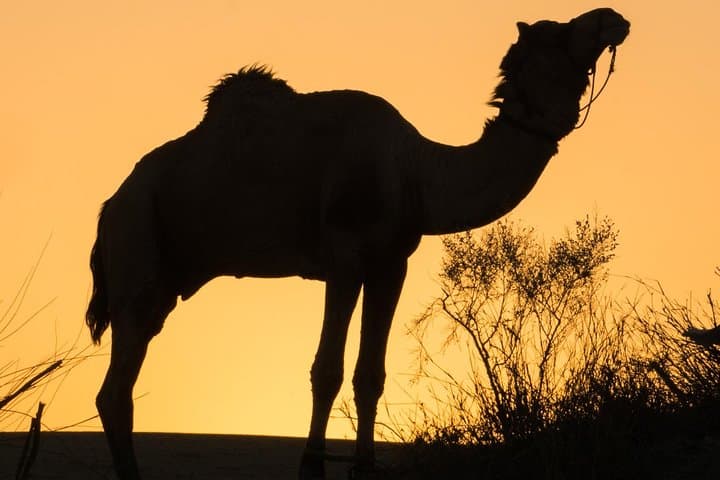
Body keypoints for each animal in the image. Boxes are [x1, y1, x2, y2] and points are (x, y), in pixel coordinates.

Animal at [86, 8, 629, 479]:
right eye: (558, 33)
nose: (613, 18)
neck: (414, 172)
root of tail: (109, 206)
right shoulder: (345, 259)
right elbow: (326, 369)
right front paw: (311, 464)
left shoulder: (391, 263)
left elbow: (371, 374)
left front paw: (365, 467)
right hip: (137, 244)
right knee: (116, 388)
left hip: (162, 272)